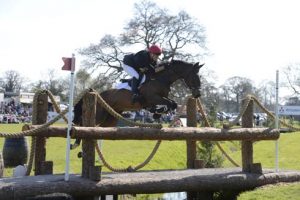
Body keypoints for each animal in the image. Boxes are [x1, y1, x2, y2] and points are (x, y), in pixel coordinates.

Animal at [72, 59, 204, 147]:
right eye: (194, 77)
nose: (197, 94)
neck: (160, 79)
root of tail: (99, 94)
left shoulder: (159, 99)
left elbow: (173, 104)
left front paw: (156, 113)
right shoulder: (153, 97)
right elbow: (169, 104)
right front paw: (157, 113)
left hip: (110, 118)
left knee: (100, 128)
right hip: (100, 113)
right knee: (84, 123)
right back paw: (76, 142)